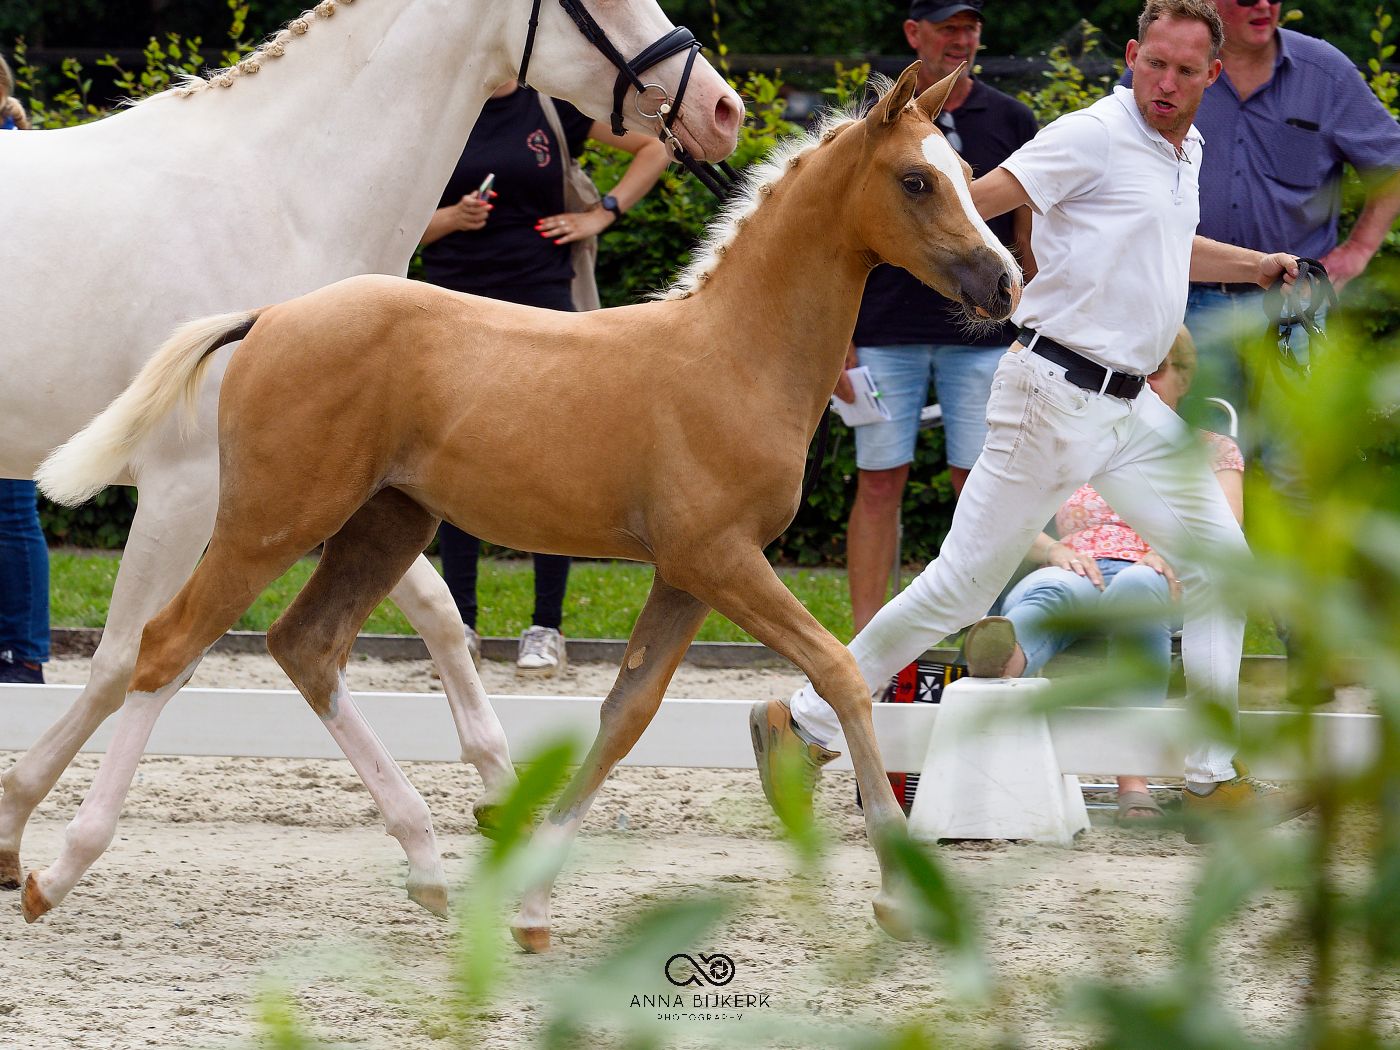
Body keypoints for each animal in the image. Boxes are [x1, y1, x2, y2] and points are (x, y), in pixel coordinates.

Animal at [0, 0, 742, 896]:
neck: (285, 194)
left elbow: (437, 617)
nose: (722, 110)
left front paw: (496, 796)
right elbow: (123, 660)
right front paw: (15, 821)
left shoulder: (338, 485)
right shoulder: (187, 491)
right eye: (594, 2)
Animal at [32, 63, 1020, 943]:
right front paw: (898, 897)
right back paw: (57, 868)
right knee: (167, 647)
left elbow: (625, 717)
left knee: (305, 648)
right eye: (916, 179)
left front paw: (535, 909)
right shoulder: (721, 560)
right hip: (269, 522)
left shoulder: (686, 575)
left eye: (965, 170)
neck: (734, 355)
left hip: (386, 525)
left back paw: (427, 867)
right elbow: (842, 673)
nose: (1004, 282)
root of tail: (271, 315)